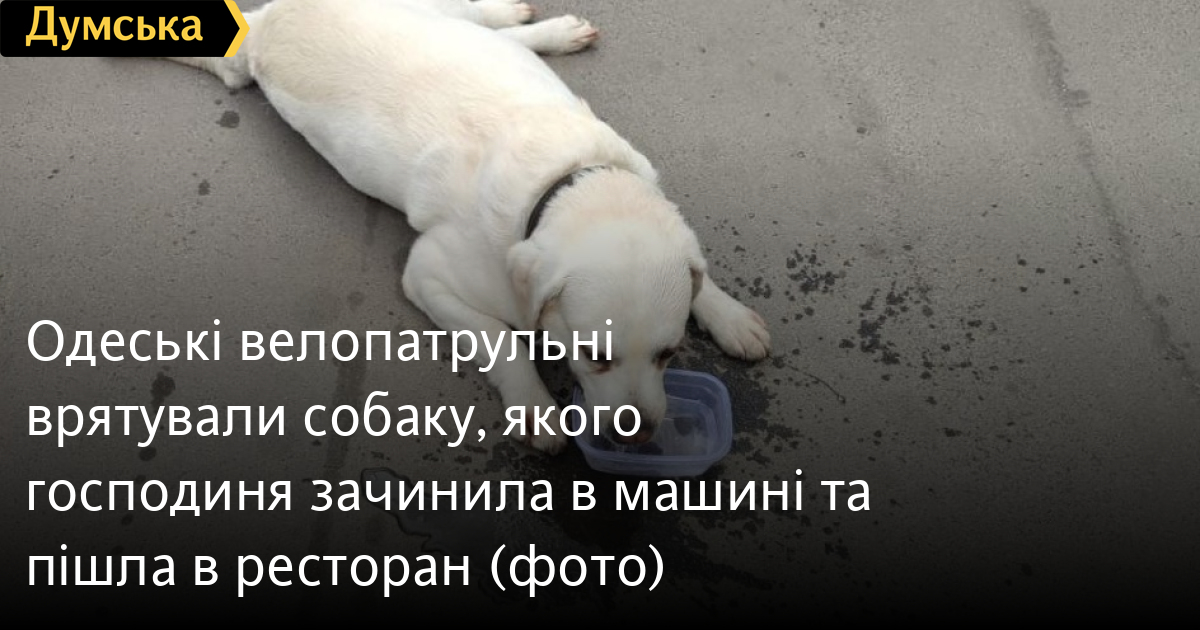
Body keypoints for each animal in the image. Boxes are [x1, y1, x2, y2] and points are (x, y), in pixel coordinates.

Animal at [167, 0, 770, 454]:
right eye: (594, 355)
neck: (570, 177)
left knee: (486, 24)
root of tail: (271, 16)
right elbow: (503, 341)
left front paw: (728, 314)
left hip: (437, 16)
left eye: (669, 353)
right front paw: (535, 407)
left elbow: (699, 274)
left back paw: (546, 29)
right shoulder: (428, 275)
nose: (636, 437)